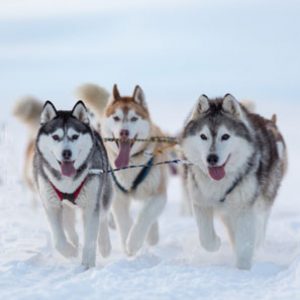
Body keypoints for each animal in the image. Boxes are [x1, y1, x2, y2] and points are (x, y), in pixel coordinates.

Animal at [33, 100, 112, 268]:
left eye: (74, 136)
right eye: (55, 136)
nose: (66, 153)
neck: (67, 183)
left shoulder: (91, 205)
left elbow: (90, 238)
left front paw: (87, 264)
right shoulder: (51, 204)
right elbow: (58, 240)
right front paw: (70, 251)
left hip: (105, 193)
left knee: (103, 217)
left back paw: (105, 245)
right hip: (65, 205)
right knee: (69, 224)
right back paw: (74, 242)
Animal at [101, 84, 169, 255]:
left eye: (133, 118)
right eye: (116, 118)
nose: (123, 132)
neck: (131, 163)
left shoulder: (158, 194)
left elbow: (145, 215)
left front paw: (133, 242)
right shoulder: (118, 196)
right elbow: (124, 222)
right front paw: (127, 243)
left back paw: (152, 235)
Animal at [182, 94, 288, 270]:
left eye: (225, 136)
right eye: (203, 136)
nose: (212, 158)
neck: (219, 183)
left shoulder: (244, 208)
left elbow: (245, 244)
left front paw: (242, 269)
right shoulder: (201, 202)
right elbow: (206, 238)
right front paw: (216, 243)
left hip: (263, 200)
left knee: (260, 226)